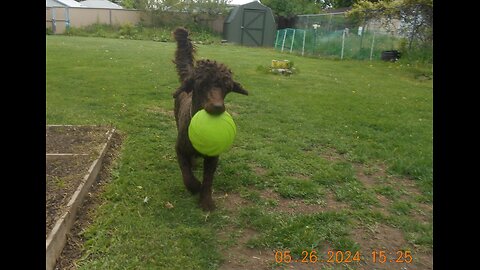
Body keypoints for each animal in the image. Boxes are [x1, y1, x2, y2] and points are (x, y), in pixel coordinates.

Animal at [172, 27, 248, 210]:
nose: (218, 107)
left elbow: (208, 179)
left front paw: (206, 201)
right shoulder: (179, 149)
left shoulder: (213, 157)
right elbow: (186, 174)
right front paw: (195, 187)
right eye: (201, 85)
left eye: (227, 87)